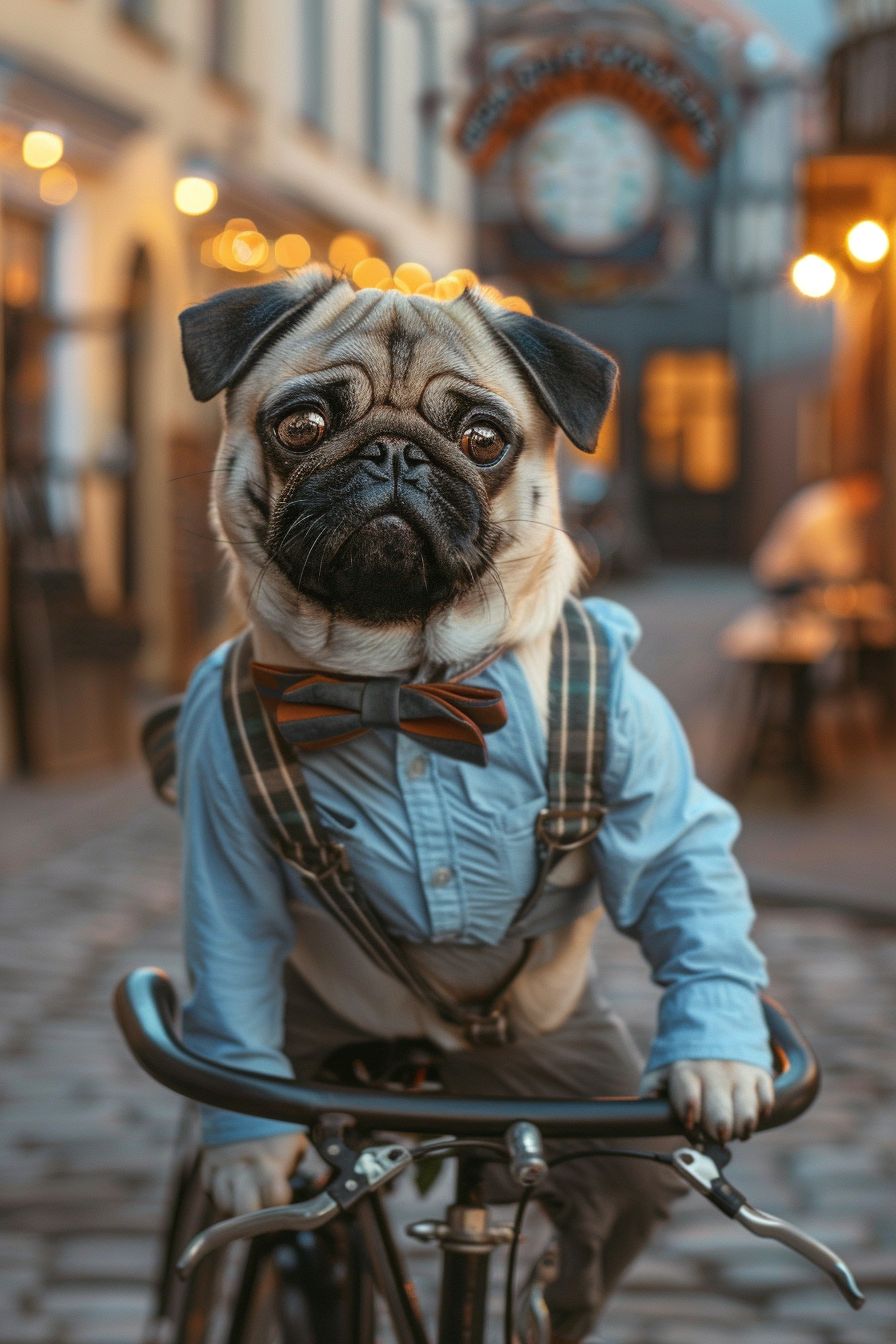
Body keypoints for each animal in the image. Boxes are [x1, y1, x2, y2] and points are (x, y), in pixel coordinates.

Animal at [178, 264, 773, 1220]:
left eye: (483, 439)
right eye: (302, 425)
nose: (393, 454)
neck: (399, 684)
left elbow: (686, 873)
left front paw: (716, 1064)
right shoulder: (223, 829)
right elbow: (231, 979)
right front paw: (250, 1149)